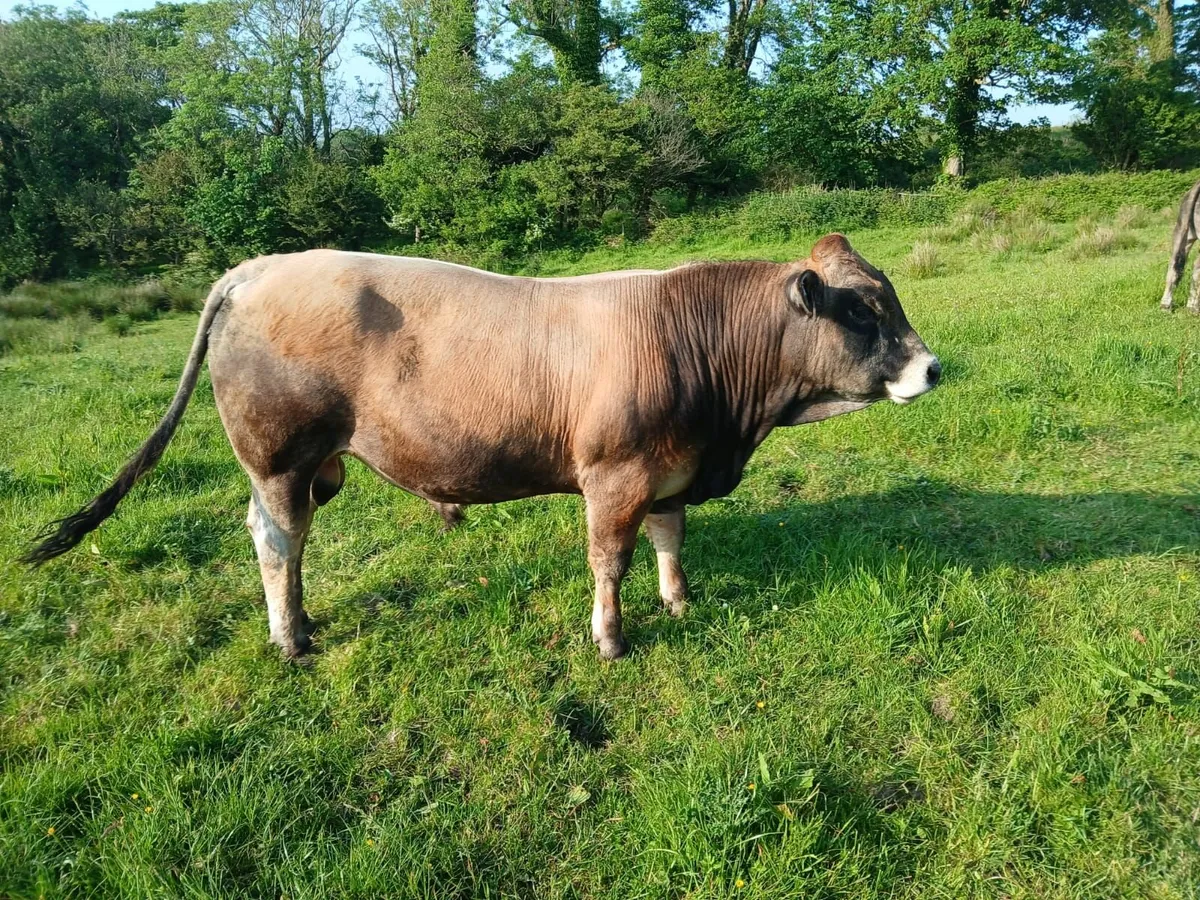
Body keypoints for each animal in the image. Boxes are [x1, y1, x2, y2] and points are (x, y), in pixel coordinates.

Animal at [24, 234, 941, 660]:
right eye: (862, 310)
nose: (932, 366)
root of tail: (257, 267)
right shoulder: (613, 476)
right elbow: (608, 561)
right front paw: (612, 638)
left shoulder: (670, 473)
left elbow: (670, 540)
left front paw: (679, 602)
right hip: (279, 455)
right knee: (275, 541)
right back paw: (292, 640)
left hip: (309, 467)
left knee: (282, 539)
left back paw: (305, 620)